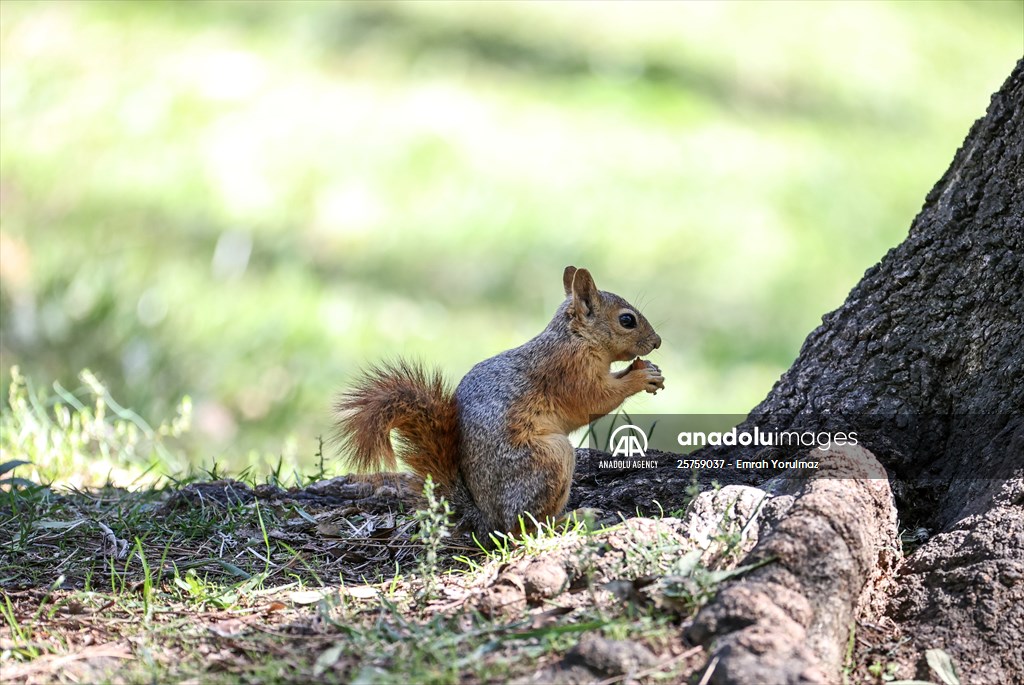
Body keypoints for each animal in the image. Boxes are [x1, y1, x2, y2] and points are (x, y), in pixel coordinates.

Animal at [333, 266, 664, 543]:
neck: (576, 337)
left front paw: (648, 372)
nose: (657, 342)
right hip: (550, 458)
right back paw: (573, 518)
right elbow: (595, 399)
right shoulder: (569, 372)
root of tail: (486, 519)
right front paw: (641, 377)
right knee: (524, 528)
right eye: (627, 320)